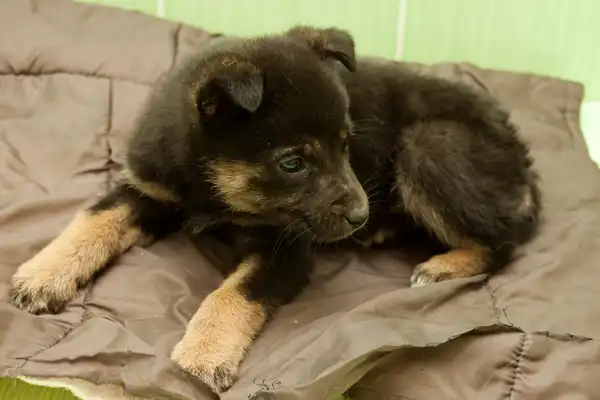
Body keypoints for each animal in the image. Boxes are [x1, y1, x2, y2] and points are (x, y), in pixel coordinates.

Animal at [9, 26, 540, 393]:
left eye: (346, 145)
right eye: (292, 163)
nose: (360, 217)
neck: (209, 188)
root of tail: (522, 159)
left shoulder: (286, 249)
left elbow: (231, 294)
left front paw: (204, 353)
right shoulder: (149, 190)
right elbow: (93, 218)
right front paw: (42, 274)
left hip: (428, 145)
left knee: (503, 243)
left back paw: (443, 265)